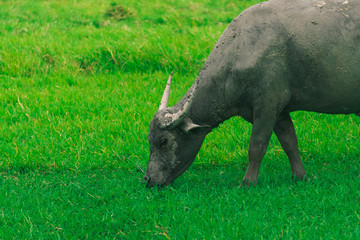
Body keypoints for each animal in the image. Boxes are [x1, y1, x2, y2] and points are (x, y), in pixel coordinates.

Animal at [142, 0, 358, 188]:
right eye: (150, 140)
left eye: (163, 141)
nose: (148, 180)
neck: (243, 48)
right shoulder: (279, 112)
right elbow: (289, 142)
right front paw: (299, 176)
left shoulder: (267, 106)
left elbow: (257, 145)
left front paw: (247, 183)